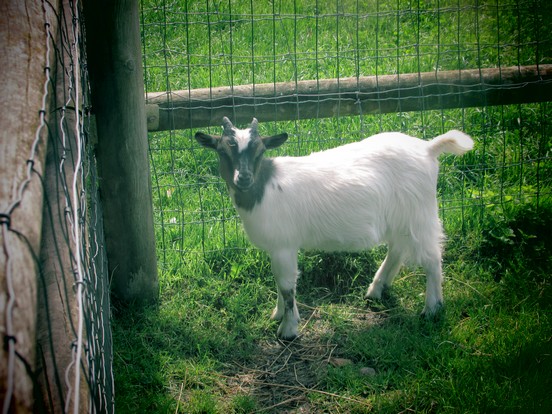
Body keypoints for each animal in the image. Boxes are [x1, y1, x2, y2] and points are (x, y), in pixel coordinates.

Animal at [195, 116, 474, 340]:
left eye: (260, 151)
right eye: (222, 150)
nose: (243, 178)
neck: (263, 187)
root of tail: (428, 148)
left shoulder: (284, 245)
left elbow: (286, 286)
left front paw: (288, 329)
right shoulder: (277, 248)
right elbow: (279, 283)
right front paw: (277, 314)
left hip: (419, 214)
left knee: (432, 258)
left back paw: (432, 308)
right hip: (401, 218)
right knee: (397, 249)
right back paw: (376, 289)